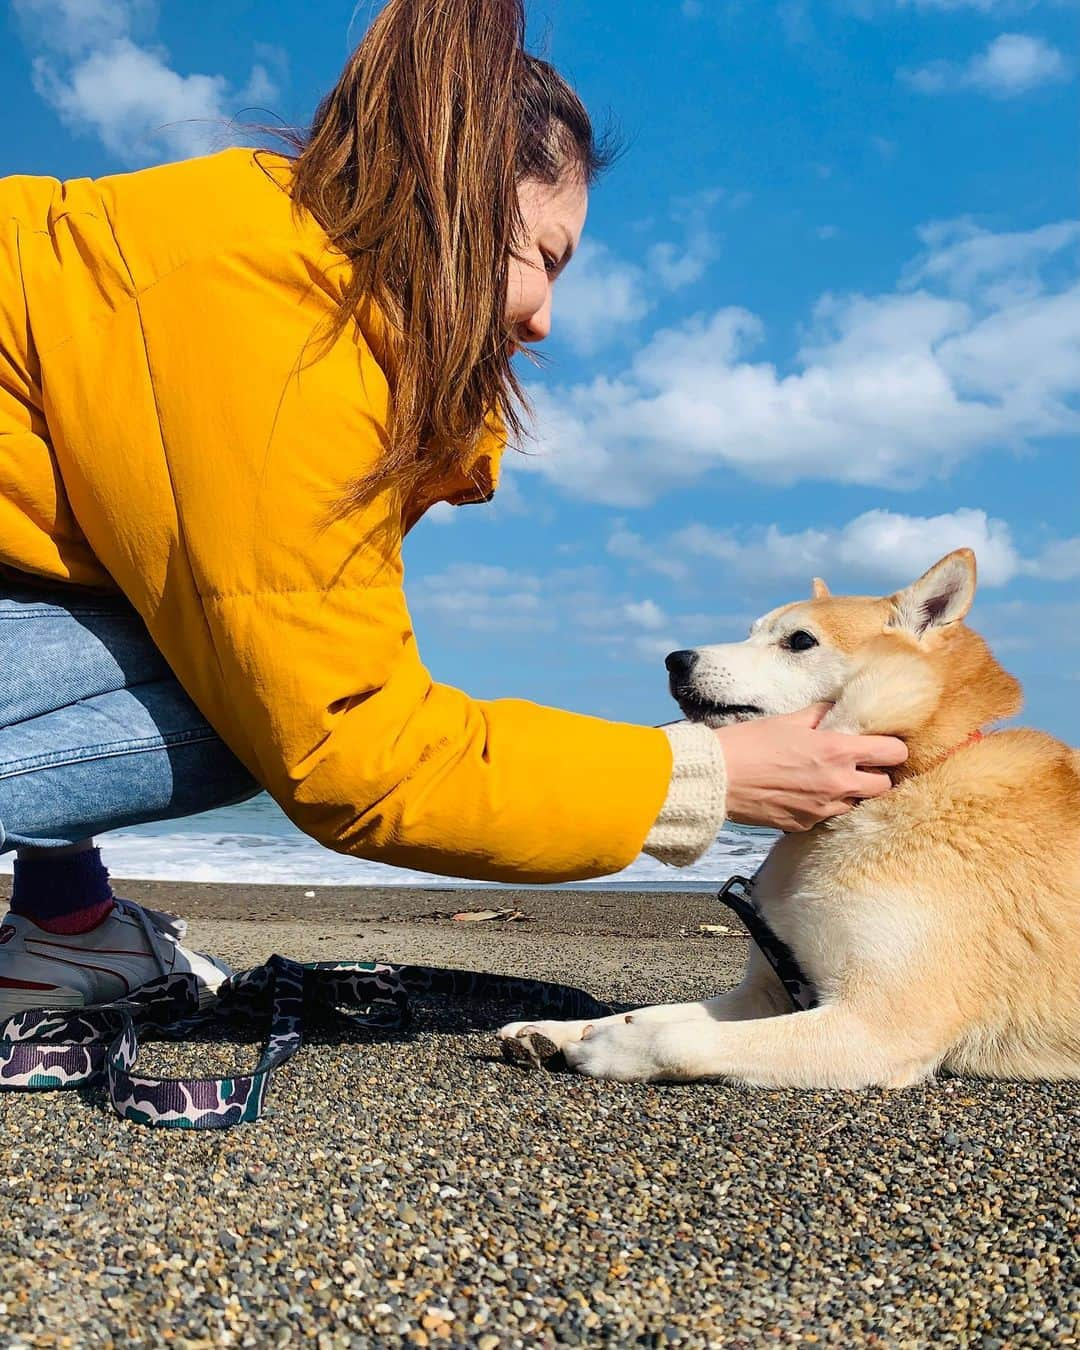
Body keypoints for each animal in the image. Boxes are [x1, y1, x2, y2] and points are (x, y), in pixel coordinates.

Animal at [496, 548, 1080, 1085]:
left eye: (799, 641)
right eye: (749, 632)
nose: (675, 659)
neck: (903, 782)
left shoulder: (878, 1026)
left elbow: (680, 1036)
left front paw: (616, 1047)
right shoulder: (771, 990)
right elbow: (659, 1013)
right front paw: (559, 1028)